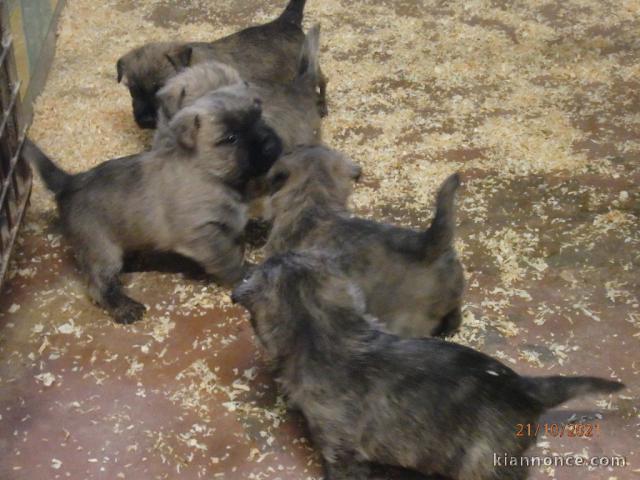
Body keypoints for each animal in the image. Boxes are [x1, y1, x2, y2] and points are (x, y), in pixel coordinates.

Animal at [25, 88, 280, 324]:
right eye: (230, 138)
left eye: (259, 117)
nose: (271, 144)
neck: (209, 173)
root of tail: (69, 182)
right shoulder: (203, 235)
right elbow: (228, 257)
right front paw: (244, 273)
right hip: (101, 251)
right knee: (99, 285)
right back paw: (123, 307)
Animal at [115, 0, 328, 129]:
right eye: (132, 90)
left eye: (160, 88)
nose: (145, 121)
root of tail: (286, 21)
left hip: (309, 66)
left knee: (323, 81)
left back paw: (322, 107)